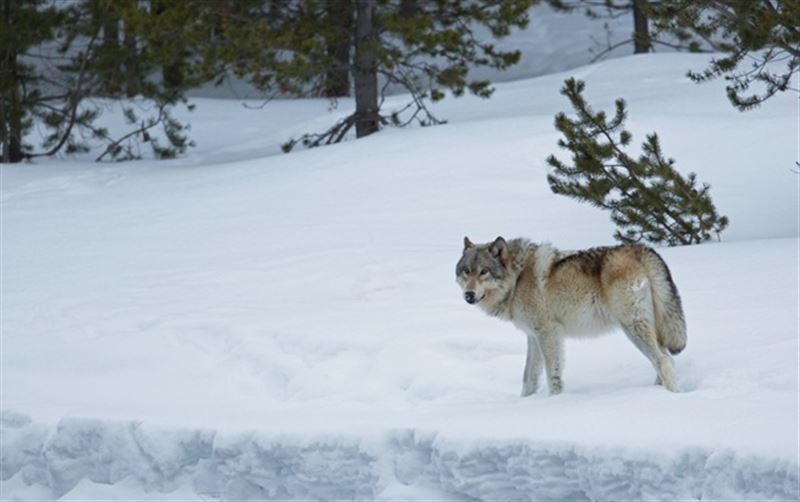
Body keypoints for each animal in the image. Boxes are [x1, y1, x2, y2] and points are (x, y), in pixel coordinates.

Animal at [456, 237, 688, 394]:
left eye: (484, 272)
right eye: (466, 271)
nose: (468, 295)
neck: (517, 278)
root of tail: (641, 249)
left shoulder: (548, 333)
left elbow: (552, 374)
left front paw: (554, 400)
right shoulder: (533, 336)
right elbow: (528, 378)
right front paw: (525, 402)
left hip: (632, 327)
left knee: (664, 361)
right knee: (665, 360)